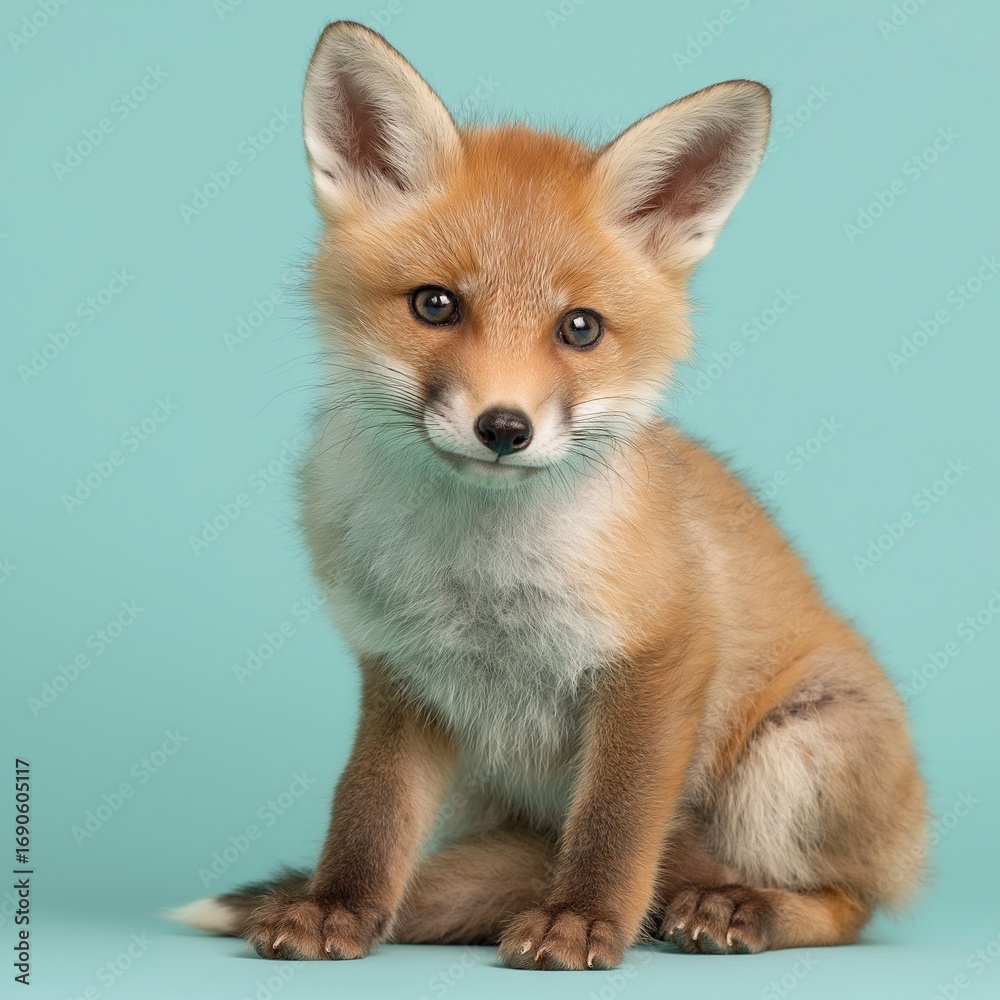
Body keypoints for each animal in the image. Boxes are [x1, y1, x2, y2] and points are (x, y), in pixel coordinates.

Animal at [171, 21, 927, 970]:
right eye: (435, 305)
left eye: (580, 328)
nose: (504, 427)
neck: (478, 573)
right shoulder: (401, 673)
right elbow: (370, 810)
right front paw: (337, 905)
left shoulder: (660, 656)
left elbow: (616, 821)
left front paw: (581, 919)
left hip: (789, 762)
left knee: (847, 905)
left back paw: (737, 908)